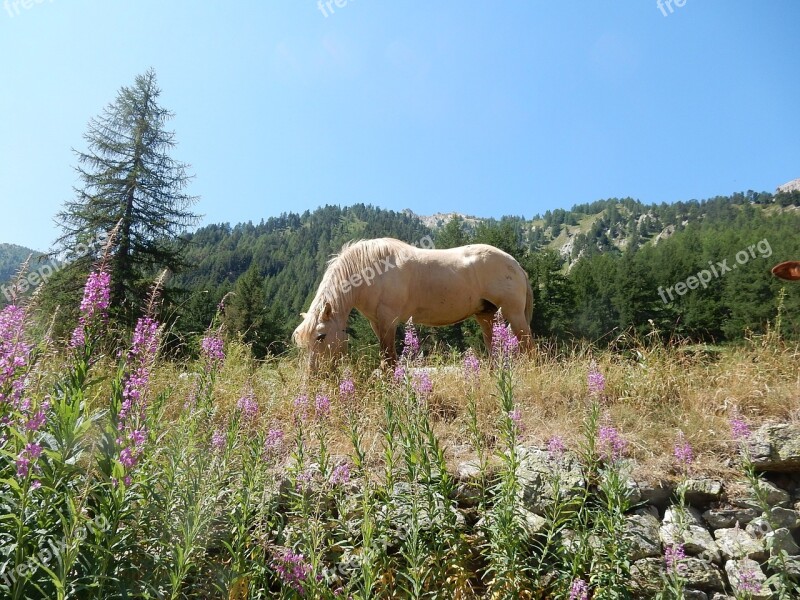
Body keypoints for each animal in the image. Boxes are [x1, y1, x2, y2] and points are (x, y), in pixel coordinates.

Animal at [292, 238, 532, 370]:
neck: (370, 270)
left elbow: (389, 357)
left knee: (529, 348)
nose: (313, 375)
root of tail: (515, 264)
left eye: (321, 336)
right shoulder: (376, 323)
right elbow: (385, 357)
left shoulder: (388, 320)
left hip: (514, 314)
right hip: (485, 316)